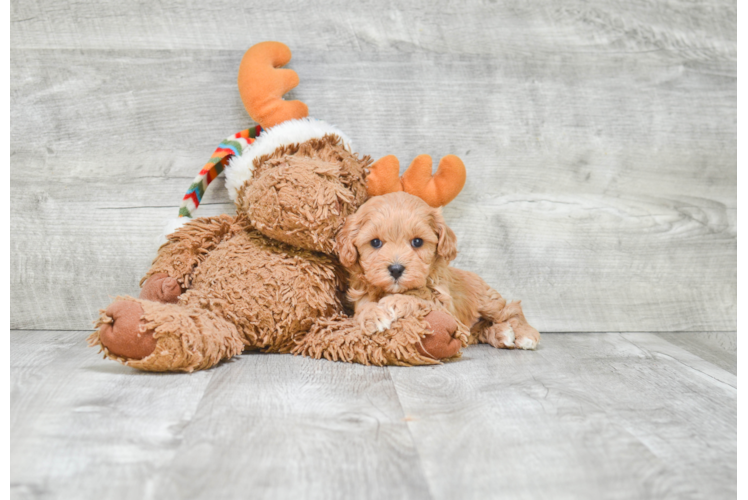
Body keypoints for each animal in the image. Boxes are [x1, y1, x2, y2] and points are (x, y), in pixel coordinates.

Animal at [336, 191, 540, 352]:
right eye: (375, 242)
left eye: (417, 242)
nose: (396, 269)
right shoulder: (361, 295)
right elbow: (363, 309)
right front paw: (373, 316)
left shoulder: (446, 309)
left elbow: (421, 298)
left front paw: (395, 302)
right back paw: (501, 333)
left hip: (487, 301)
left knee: (511, 310)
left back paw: (525, 335)